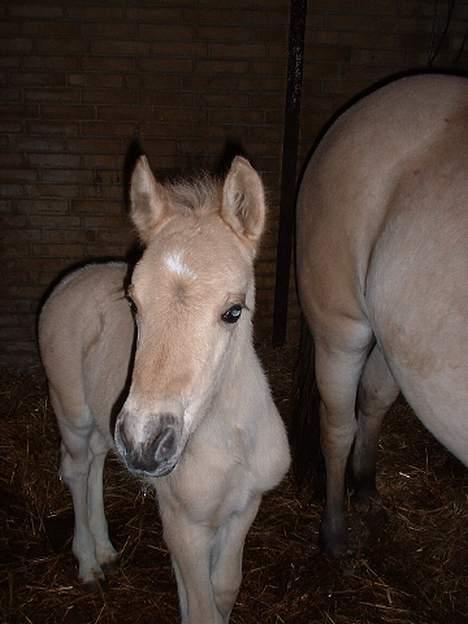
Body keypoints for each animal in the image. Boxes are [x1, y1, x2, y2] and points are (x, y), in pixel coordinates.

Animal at [40, 156, 290, 624]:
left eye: (234, 310)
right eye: (133, 303)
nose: (144, 443)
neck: (229, 440)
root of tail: (69, 281)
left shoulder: (244, 507)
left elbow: (223, 589)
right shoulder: (183, 521)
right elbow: (202, 605)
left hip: (104, 424)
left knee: (98, 460)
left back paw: (106, 550)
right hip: (72, 413)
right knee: (77, 468)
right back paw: (88, 563)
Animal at [296, 73, 468, 556]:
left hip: (399, 341)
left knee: (373, 398)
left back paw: (367, 489)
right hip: (342, 333)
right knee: (338, 427)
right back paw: (335, 532)